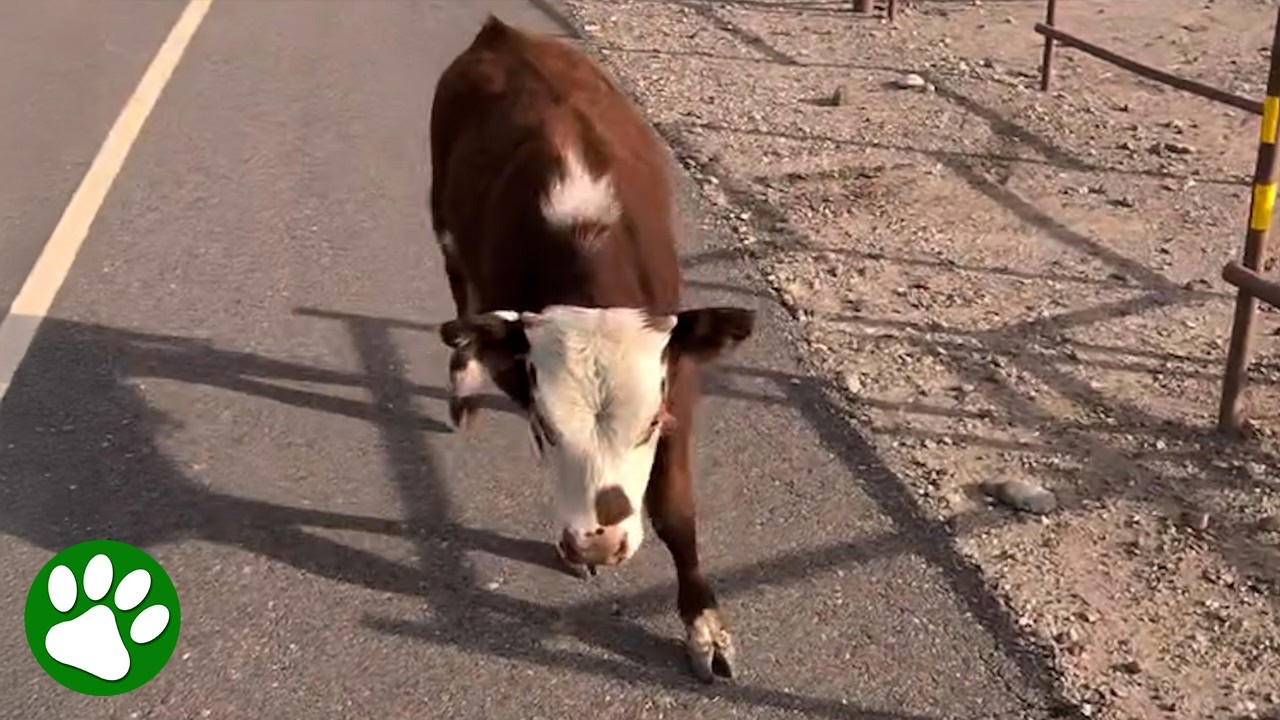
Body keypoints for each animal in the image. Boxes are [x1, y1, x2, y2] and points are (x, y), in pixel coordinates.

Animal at [428, 15, 756, 681]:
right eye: (546, 427)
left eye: (652, 422)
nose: (599, 543)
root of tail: (502, 33)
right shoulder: (518, 367)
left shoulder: (679, 377)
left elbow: (676, 511)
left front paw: (705, 624)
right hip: (443, 226)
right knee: (460, 300)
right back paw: (463, 388)